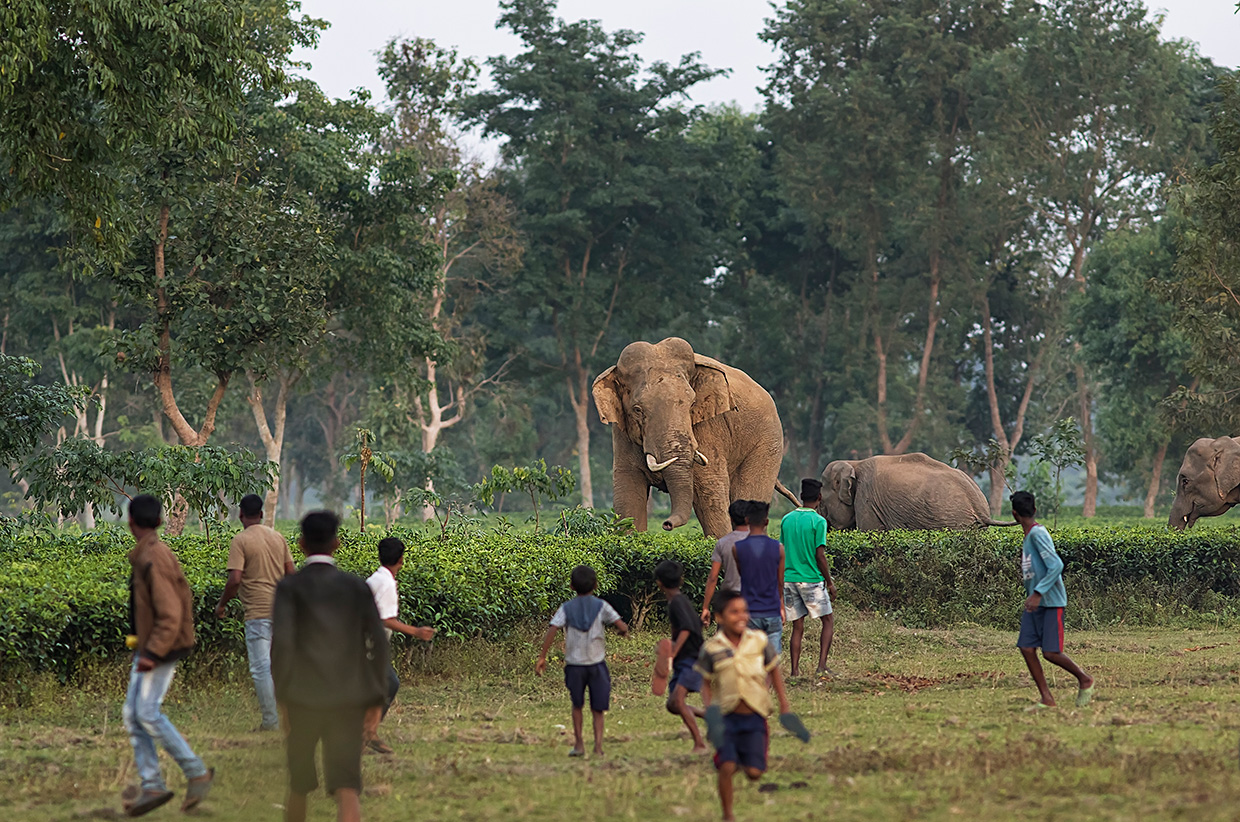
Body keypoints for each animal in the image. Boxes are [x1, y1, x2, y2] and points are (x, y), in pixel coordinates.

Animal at [590, 337, 793, 540]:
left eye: (692, 404)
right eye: (638, 410)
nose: (666, 524)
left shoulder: (708, 428)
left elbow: (708, 493)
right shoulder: (622, 435)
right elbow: (627, 498)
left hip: (767, 443)